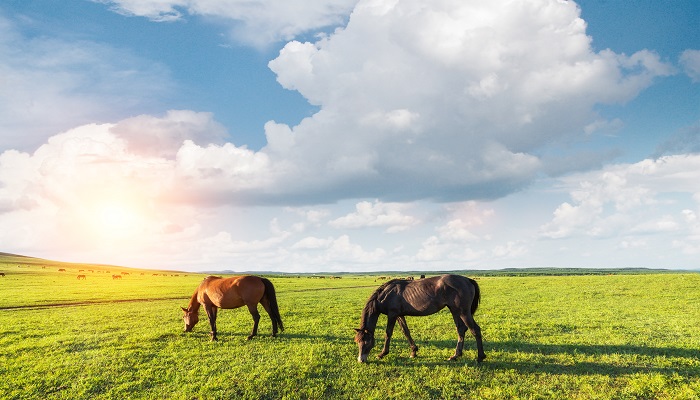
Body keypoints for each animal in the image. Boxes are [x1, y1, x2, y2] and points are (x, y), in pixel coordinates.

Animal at [352, 276, 484, 362]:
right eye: (357, 341)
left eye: (366, 342)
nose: (361, 360)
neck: (386, 294)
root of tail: (467, 280)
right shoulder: (399, 315)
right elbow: (406, 332)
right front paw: (413, 352)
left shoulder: (392, 314)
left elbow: (388, 333)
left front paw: (382, 354)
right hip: (455, 310)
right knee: (461, 330)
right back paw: (456, 355)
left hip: (463, 312)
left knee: (475, 330)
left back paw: (480, 357)